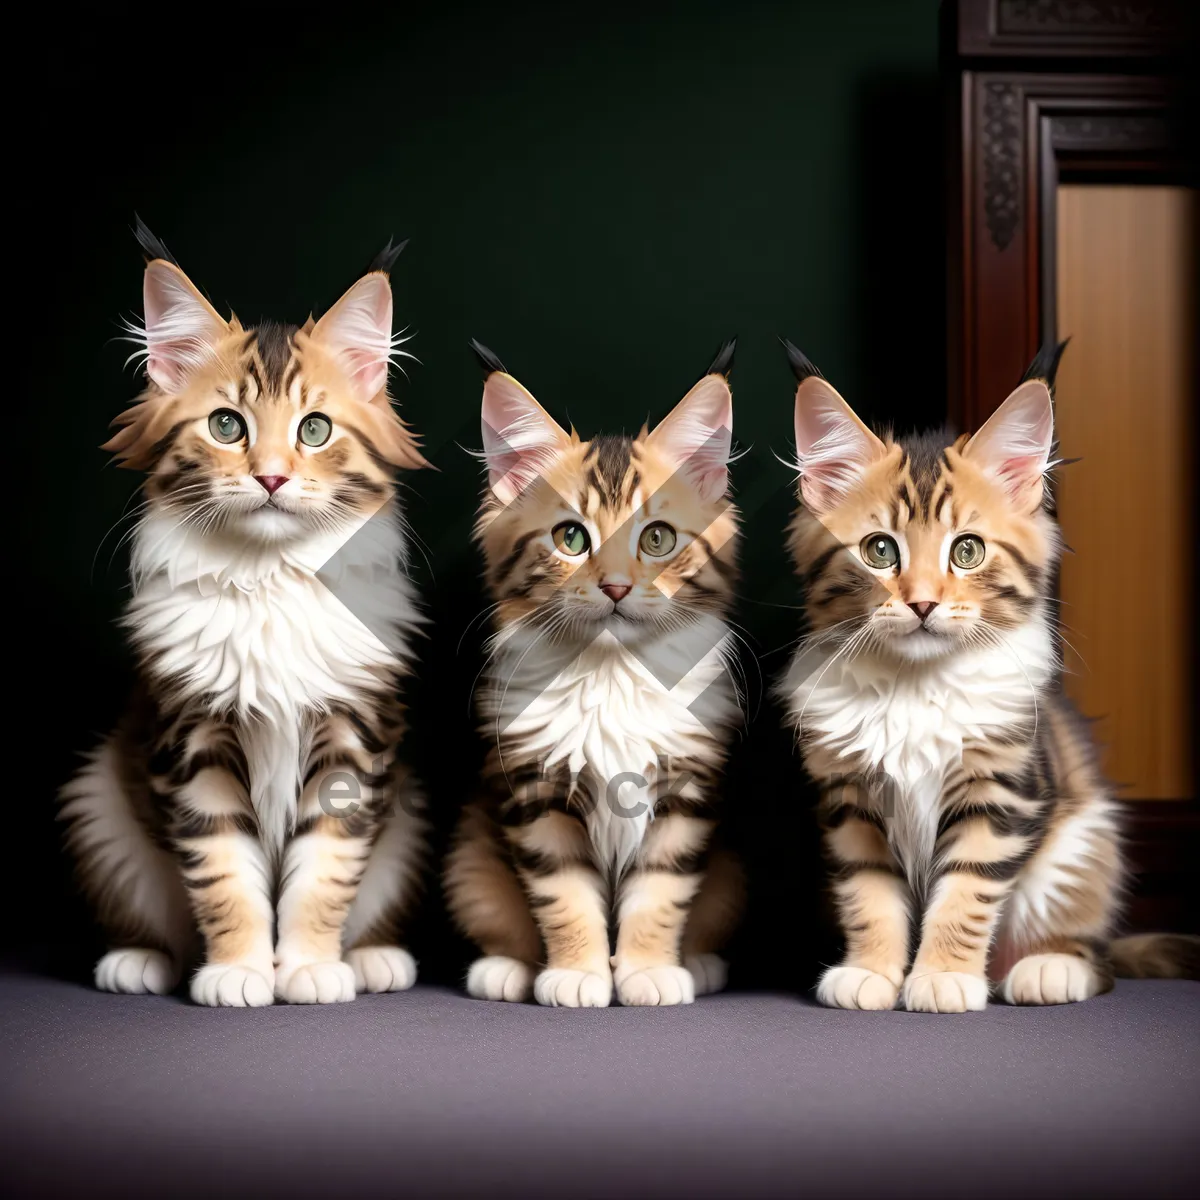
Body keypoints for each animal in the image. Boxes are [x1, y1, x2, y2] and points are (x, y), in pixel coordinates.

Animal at [59, 223, 432, 1003]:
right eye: (227, 425)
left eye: (315, 430)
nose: (271, 477)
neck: (270, 579)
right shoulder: (193, 740)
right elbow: (224, 875)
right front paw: (237, 971)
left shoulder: (351, 745)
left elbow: (323, 877)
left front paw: (312, 967)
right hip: (97, 804)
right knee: (156, 922)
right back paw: (141, 961)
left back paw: (373, 959)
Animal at [446, 343, 744, 1008]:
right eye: (570, 538)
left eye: (657, 539)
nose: (614, 587)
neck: (612, 674)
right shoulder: (537, 792)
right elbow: (563, 897)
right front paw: (579, 973)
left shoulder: (683, 795)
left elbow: (659, 897)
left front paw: (648, 970)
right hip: (472, 857)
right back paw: (507, 968)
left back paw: (699, 963)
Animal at [777, 340, 1200, 1012]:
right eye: (879, 551)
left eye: (967, 551)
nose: (923, 603)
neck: (916, 685)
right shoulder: (852, 803)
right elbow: (869, 895)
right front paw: (872, 971)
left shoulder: (998, 792)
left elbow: (965, 894)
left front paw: (943, 976)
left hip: (1082, 847)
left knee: (1095, 956)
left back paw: (1044, 969)